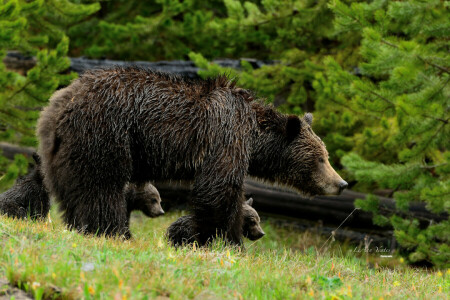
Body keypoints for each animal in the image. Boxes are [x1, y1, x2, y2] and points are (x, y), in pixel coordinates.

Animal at [37, 67, 348, 243]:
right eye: (320, 158)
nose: (341, 183)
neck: (253, 135)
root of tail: (61, 103)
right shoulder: (225, 136)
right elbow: (219, 190)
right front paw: (218, 238)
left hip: (62, 149)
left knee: (69, 187)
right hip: (105, 133)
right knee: (101, 186)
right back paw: (112, 231)